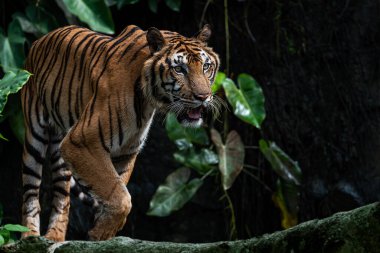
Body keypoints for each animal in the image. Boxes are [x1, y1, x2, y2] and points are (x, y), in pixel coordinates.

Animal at [20, 24, 221, 242]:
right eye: (179, 69)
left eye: (206, 66)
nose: (203, 97)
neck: (147, 102)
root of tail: (39, 40)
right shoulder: (80, 141)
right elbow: (120, 196)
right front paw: (101, 232)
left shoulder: (126, 151)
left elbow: (114, 189)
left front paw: (102, 232)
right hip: (35, 139)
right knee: (30, 193)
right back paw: (29, 236)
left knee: (62, 196)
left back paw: (54, 237)